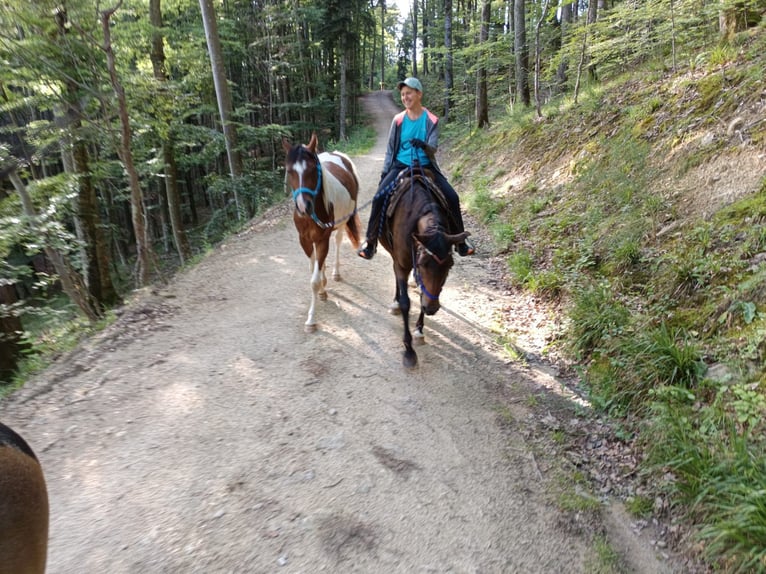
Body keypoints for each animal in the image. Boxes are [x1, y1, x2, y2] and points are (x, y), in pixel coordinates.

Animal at [284, 133, 364, 332]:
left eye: (313, 169)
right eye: (289, 171)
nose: (303, 207)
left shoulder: (322, 240)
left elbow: (313, 280)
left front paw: (311, 320)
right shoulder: (305, 241)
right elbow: (313, 270)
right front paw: (322, 289)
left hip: (342, 222)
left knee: (338, 241)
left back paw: (335, 273)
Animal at [380, 169, 472, 372]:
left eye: (450, 265)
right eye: (422, 264)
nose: (431, 309)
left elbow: (423, 293)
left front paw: (420, 330)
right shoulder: (402, 264)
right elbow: (406, 302)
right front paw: (408, 351)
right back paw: (395, 302)